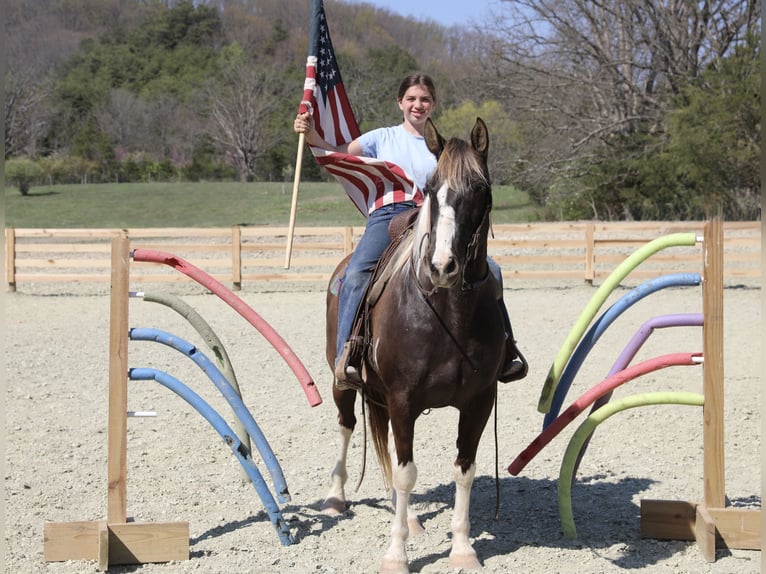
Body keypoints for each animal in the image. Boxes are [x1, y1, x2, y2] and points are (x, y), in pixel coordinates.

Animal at [323, 117, 506, 573]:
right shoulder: (403, 398)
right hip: (342, 381)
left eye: (480, 188)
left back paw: (409, 517)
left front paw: (463, 548)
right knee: (347, 425)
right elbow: (407, 473)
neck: (447, 312)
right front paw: (396, 555)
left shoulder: (479, 400)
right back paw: (335, 496)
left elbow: (464, 469)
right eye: (431, 186)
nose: (443, 266)